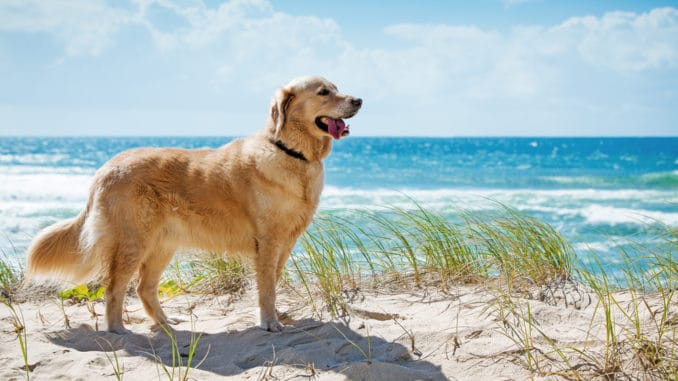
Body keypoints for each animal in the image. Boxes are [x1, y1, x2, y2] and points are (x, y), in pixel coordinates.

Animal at [26, 75, 364, 332]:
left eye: (337, 88)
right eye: (323, 92)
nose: (359, 100)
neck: (292, 153)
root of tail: (107, 166)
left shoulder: (285, 241)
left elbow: (272, 282)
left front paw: (275, 316)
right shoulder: (267, 241)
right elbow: (266, 287)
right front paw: (269, 323)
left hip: (162, 244)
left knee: (144, 288)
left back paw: (166, 324)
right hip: (133, 241)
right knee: (114, 288)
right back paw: (118, 330)